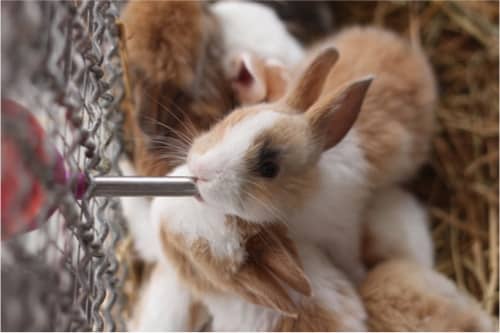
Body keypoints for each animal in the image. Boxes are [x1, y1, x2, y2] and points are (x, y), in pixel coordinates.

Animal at [179, 27, 434, 284]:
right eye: (234, 116)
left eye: (269, 168)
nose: (199, 170)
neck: (307, 189)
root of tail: (405, 48)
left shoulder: (343, 230)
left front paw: (358, 277)